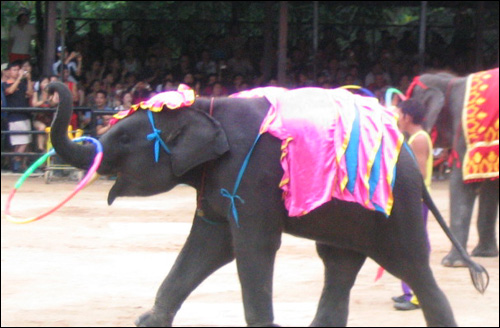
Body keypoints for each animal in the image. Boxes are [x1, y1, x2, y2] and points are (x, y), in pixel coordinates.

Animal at [46, 81, 484, 326]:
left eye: (122, 139)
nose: (52, 86)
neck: (207, 106)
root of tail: (408, 155)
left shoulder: (252, 176)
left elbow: (251, 248)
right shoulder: (218, 183)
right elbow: (208, 245)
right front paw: (147, 321)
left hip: (399, 208)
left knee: (412, 268)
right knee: (338, 265)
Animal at [408, 69, 498, 266]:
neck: (451, 80)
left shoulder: (467, 133)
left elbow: (462, 183)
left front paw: (452, 263)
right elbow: (489, 186)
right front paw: (484, 254)